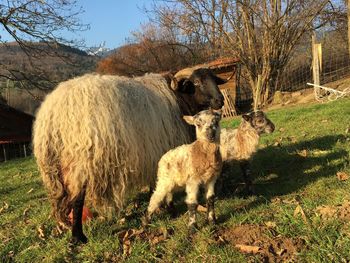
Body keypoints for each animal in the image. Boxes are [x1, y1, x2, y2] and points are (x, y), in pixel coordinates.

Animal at [33, 68, 227, 243]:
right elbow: (161, 185)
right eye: (197, 82)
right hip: (82, 159)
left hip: (55, 168)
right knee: (77, 200)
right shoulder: (161, 148)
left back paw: (65, 224)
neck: (180, 98)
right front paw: (168, 208)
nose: (220, 100)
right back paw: (78, 237)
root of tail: (53, 115)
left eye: (214, 79)